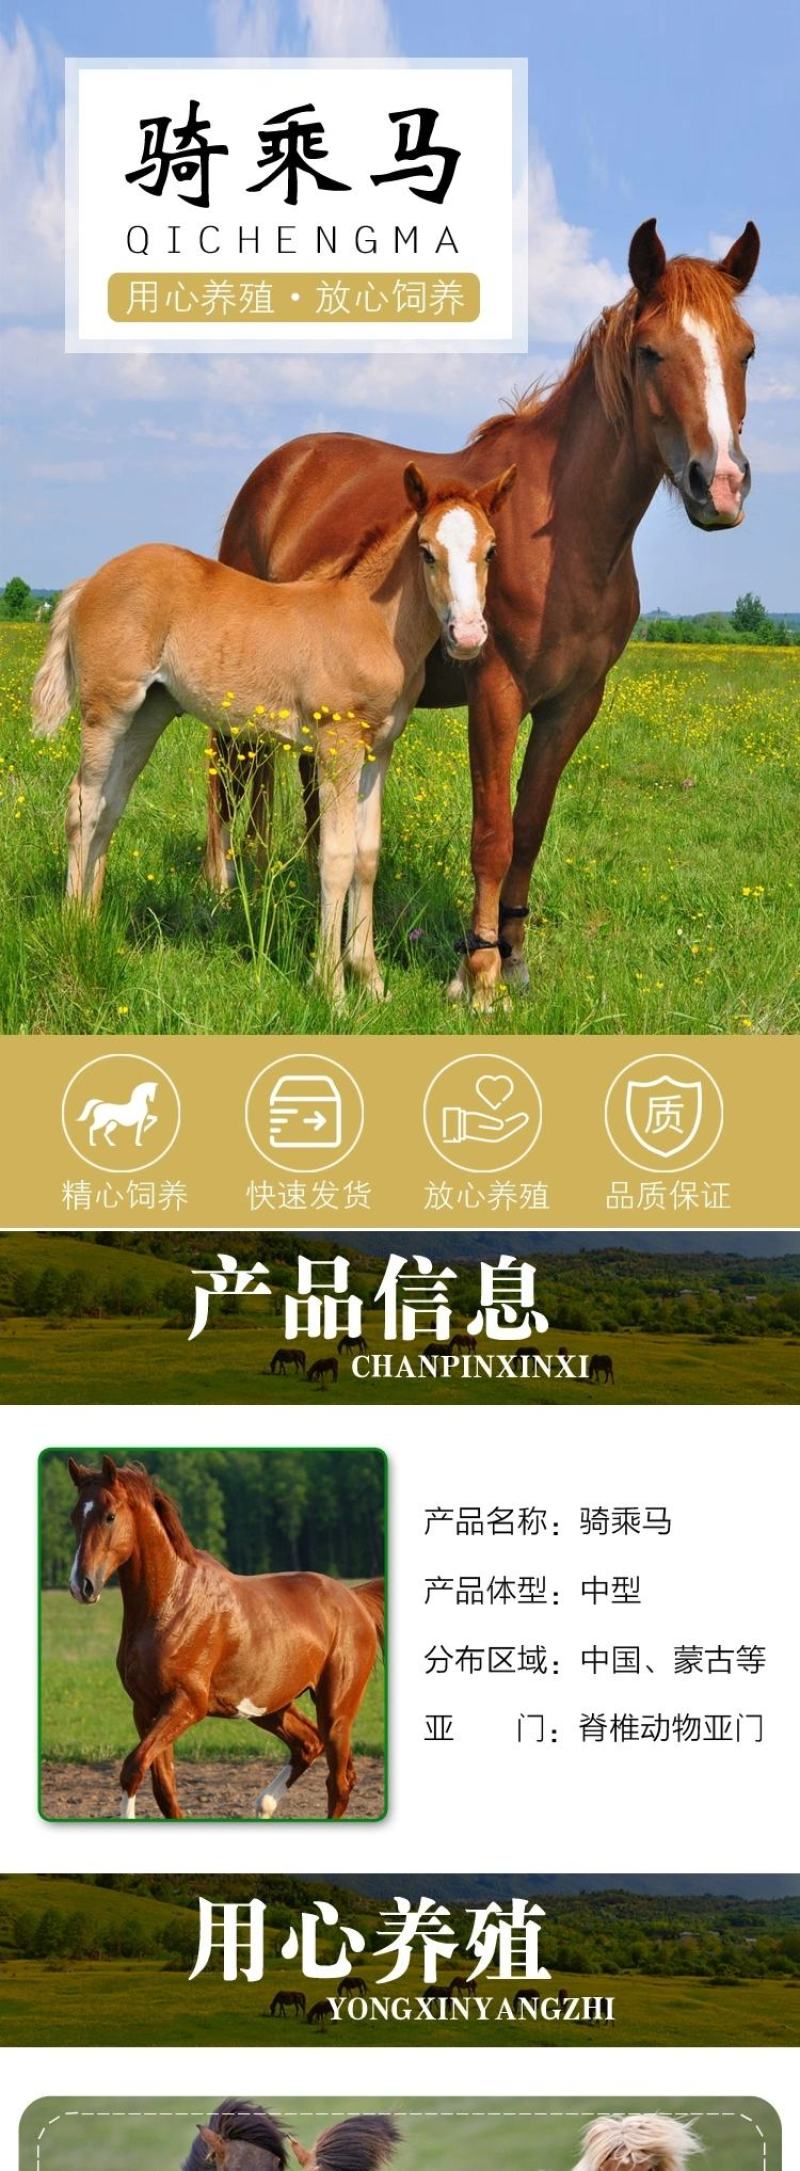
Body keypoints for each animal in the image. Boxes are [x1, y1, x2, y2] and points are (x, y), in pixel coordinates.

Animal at [32, 464, 513, 1004]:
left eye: (491, 550)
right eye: (427, 550)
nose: (467, 636)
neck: (371, 621)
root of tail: (89, 581)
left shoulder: (379, 750)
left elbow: (367, 858)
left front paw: (371, 982)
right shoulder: (338, 745)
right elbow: (336, 857)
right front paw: (332, 991)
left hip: (148, 714)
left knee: (110, 805)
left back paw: (91, 920)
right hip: (108, 709)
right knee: (83, 803)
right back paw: (72, 929)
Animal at [66, 1456, 384, 1819]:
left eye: (109, 1516)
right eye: (74, 1517)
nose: (82, 1585)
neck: (172, 1603)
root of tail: (354, 1598)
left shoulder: (187, 1703)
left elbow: (133, 1768)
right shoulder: (145, 1707)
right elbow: (164, 1790)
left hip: (335, 1710)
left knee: (339, 1781)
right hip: (272, 1707)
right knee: (308, 1745)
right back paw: (264, 1804)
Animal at [215, 218, 759, 1007]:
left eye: (745, 349)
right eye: (653, 352)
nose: (718, 486)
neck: (562, 538)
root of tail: (279, 470)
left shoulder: (572, 705)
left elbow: (529, 828)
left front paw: (515, 957)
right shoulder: (495, 694)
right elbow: (492, 833)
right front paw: (477, 975)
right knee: (229, 778)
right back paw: (228, 889)